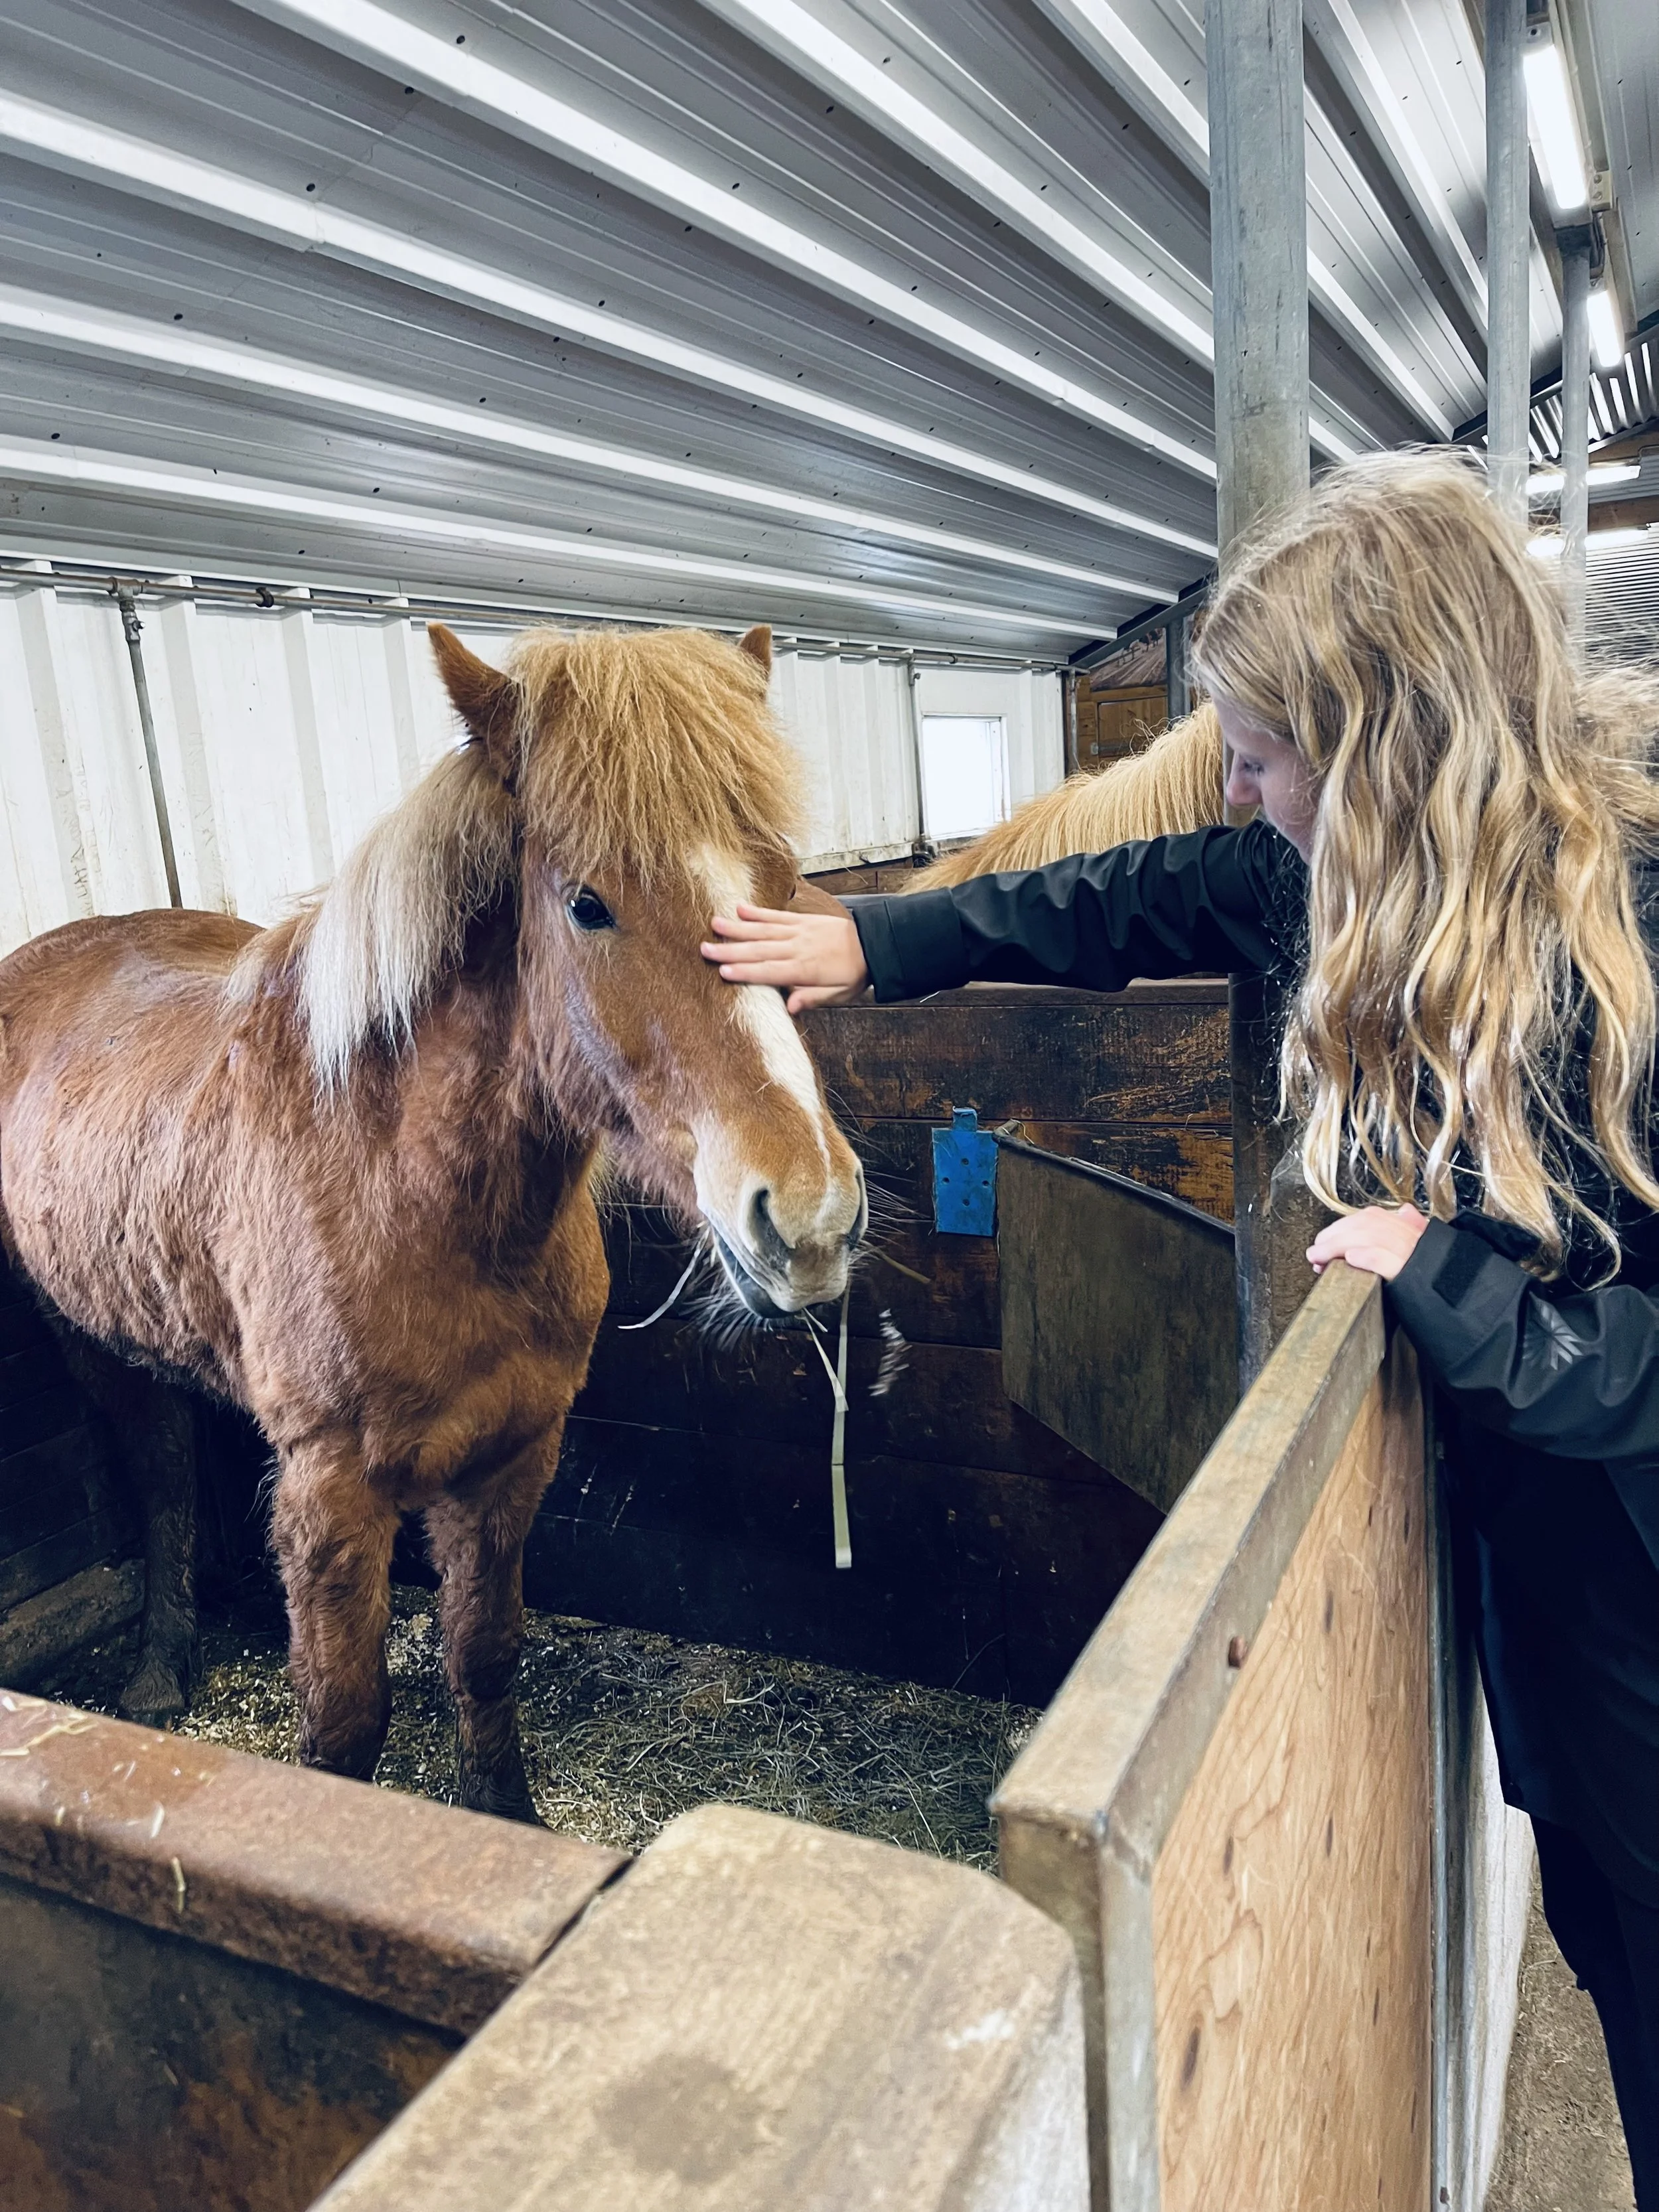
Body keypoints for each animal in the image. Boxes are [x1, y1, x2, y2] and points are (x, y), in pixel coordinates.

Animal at [0, 621, 866, 1820]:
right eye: (587, 903)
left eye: (785, 886)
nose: (810, 1214)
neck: (406, 1195)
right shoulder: (332, 1492)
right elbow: (344, 1721)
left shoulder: (511, 1454)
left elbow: (483, 1657)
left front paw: (508, 1819)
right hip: (91, 1341)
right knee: (160, 1471)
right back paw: (161, 1669)